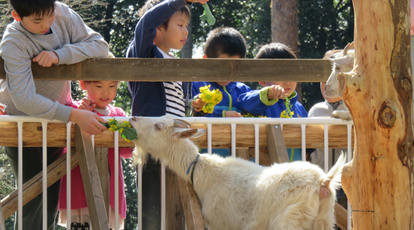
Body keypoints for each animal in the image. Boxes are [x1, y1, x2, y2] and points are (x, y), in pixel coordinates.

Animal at [130, 115, 346, 230]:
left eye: (158, 126)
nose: (133, 118)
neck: (204, 172)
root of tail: (323, 181)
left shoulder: (221, 223)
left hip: (291, 221)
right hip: (324, 221)